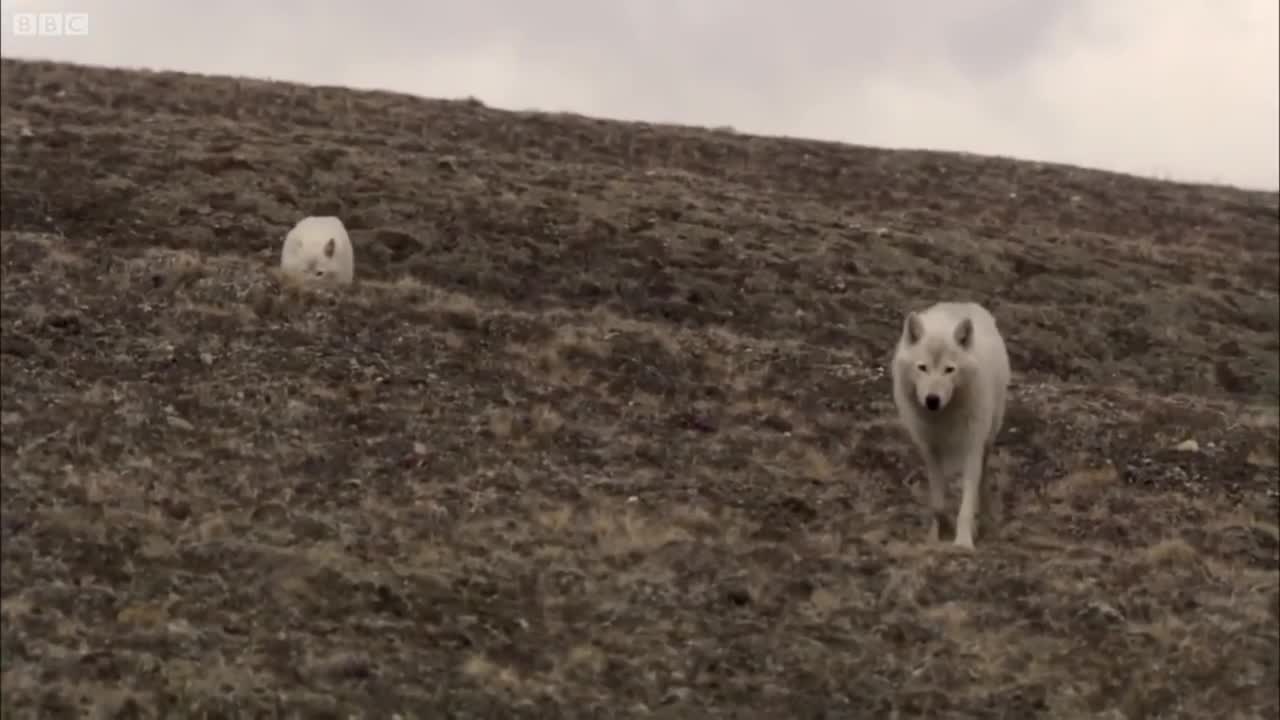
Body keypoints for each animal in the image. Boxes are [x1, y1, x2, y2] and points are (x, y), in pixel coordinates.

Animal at [890, 299, 1008, 545]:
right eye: (922, 367)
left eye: (949, 369)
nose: (932, 400)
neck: (943, 416)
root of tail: (962, 303)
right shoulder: (930, 449)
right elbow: (938, 504)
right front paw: (939, 532)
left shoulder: (972, 446)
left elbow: (967, 503)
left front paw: (963, 541)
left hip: (987, 440)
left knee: (982, 482)